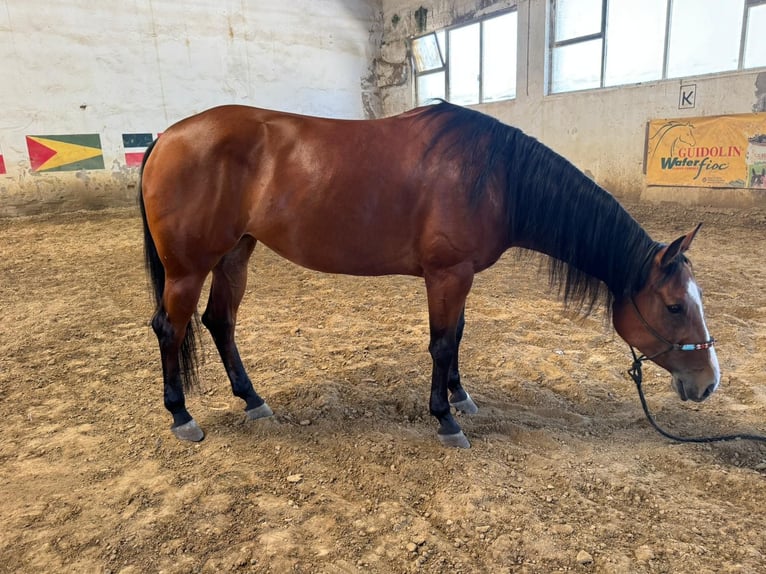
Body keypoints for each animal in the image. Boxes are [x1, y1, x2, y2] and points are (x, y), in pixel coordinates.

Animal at [138, 101, 720, 448]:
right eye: (674, 306)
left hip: (235, 254)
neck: (496, 177)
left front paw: (461, 397)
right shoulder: (446, 275)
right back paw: (181, 416)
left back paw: (253, 401)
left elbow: (457, 335)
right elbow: (442, 343)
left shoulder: (459, 278)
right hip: (188, 269)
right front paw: (446, 419)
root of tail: (166, 137)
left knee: (220, 322)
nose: (708, 382)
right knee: (170, 328)